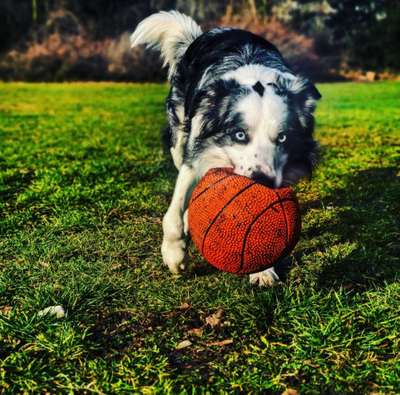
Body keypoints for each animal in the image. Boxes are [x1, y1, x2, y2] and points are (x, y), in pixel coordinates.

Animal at [131, 10, 322, 288]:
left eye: (283, 138)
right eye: (239, 134)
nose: (261, 180)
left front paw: (262, 271)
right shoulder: (195, 155)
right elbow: (174, 213)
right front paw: (174, 255)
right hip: (178, 138)